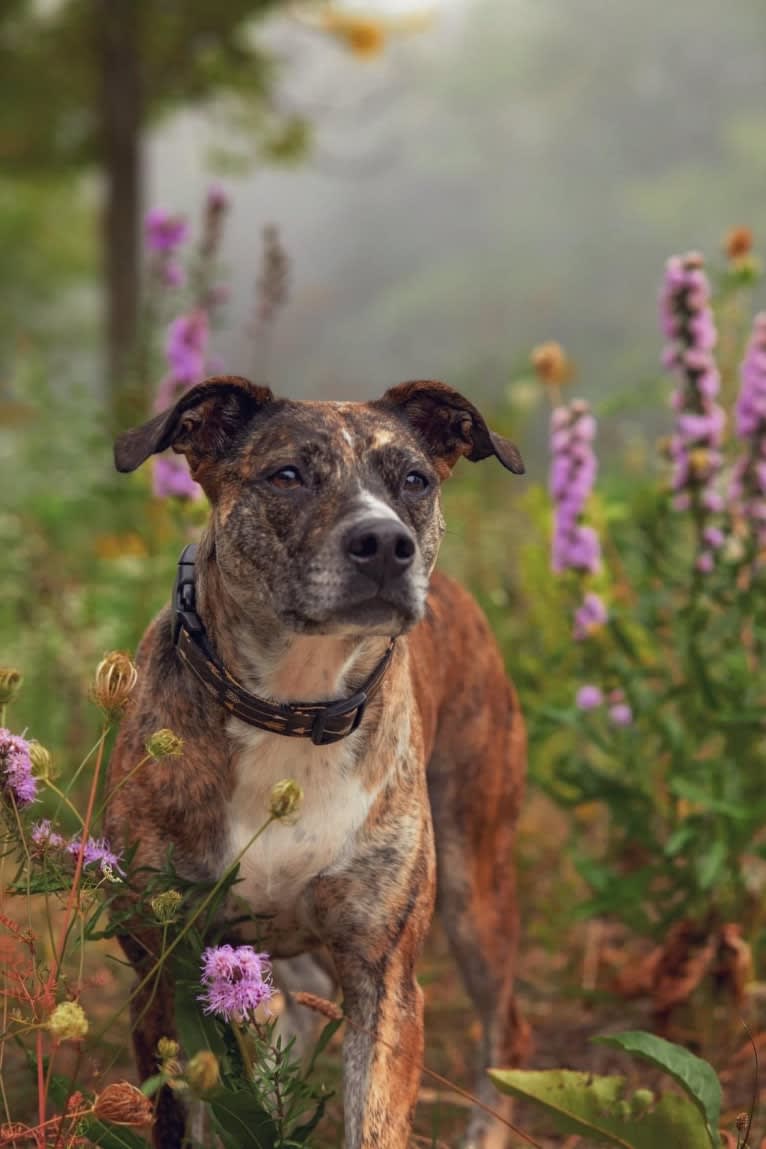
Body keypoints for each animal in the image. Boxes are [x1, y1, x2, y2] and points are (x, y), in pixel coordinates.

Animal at [106, 379, 528, 1149]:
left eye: (415, 481)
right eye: (287, 476)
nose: (385, 543)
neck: (295, 706)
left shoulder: (383, 977)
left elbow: (375, 1117)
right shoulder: (164, 964)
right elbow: (179, 1110)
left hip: (475, 880)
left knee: (506, 1027)